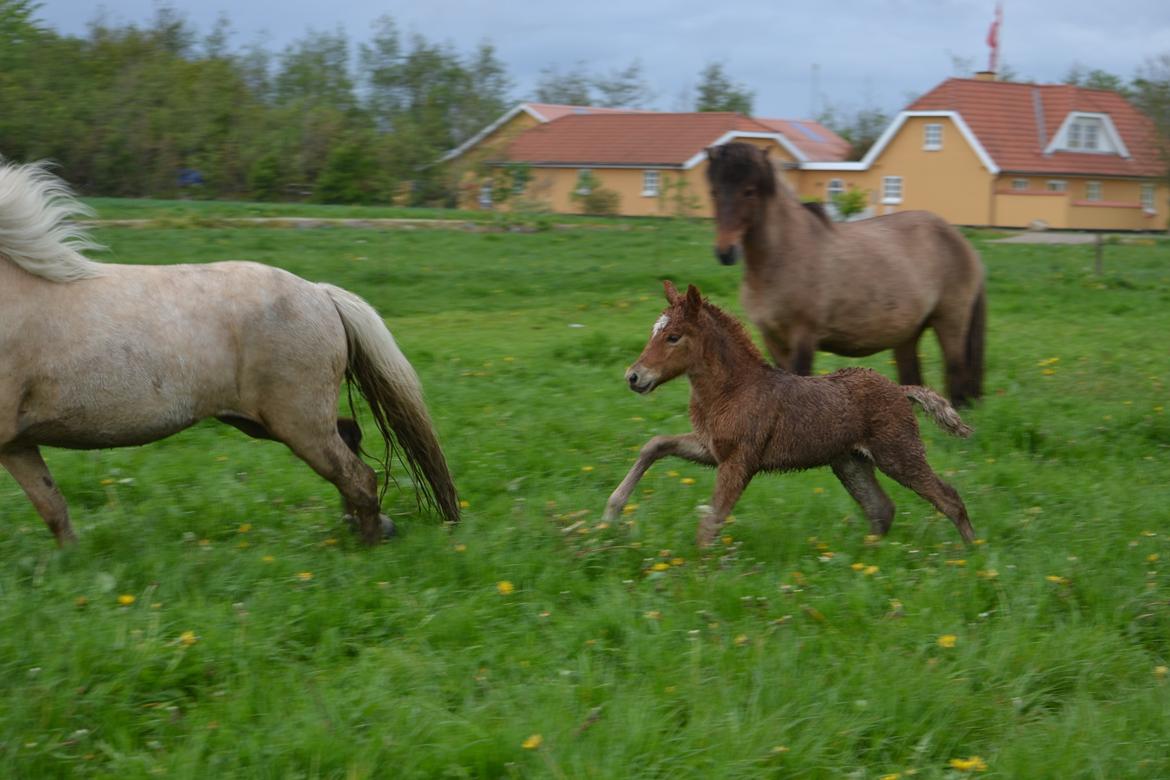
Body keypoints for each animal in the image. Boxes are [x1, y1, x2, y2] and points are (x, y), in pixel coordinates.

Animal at [0, 161, 456, 547]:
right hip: (268, 421)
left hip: (296, 422)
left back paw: (371, 541)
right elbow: (53, 507)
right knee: (350, 436)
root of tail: (320, 294)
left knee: (358, 475)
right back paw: (366, 525)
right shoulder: (16, 444)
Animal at [603, 281, 978, 549]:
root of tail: (901, 391)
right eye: (655, 331)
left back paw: (973, 556)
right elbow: (655, 444)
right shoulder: (712, 448)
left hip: (898, 454)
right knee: (881, 509)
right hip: (851, 462)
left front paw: (697, 574)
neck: (731, 389)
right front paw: (611, 513)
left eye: (673, 336)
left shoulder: (740, 460)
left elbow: (712, 520)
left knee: (949, 499)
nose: (634, 377)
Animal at [702, 142, 987, 409]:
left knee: (956, 370)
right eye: (714, 192)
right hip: (908, 334)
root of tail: (961, 242)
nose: (725, 252)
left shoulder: (804, 336)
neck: (782, 256)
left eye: (749, 191)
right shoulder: (772, 338)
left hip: (950, 322)